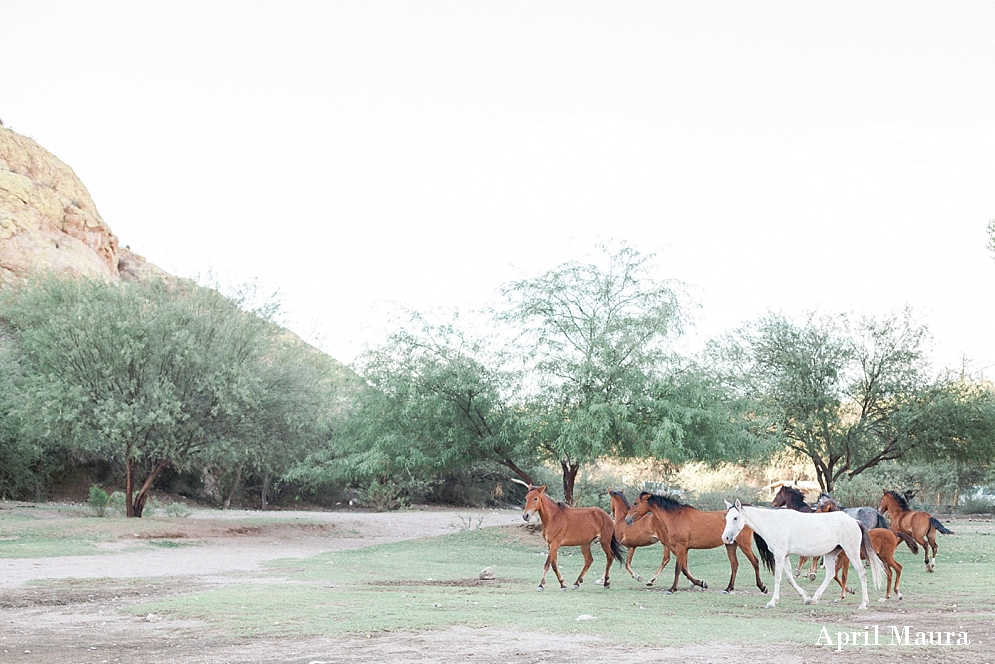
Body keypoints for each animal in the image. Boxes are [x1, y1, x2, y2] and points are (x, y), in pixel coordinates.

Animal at [624, 490, 772, 592]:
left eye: (635, 503)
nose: (627, 519)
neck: (676, 517)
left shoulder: (681, 547)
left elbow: (678, 568)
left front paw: (672, 589)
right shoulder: (682, 549)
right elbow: (684, 568)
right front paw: (700, 583)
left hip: (744, 544)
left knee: (755, 562)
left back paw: (762, 587)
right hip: (731, 545)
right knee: (734, 565)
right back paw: (728, 588)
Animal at [724, 500, 880, 608]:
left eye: (735, 518)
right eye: (726, 518)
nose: (725, 538)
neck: (774, 523)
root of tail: (855, 521)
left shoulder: (779, 555)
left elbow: (778, 578)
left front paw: (772, 602)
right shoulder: (785, 556)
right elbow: (789, 578)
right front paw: (805, 597)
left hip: (851, 552)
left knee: (862, 573)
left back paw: (863, 604)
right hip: (830, 554)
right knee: (831, 574)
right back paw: (814, 599)